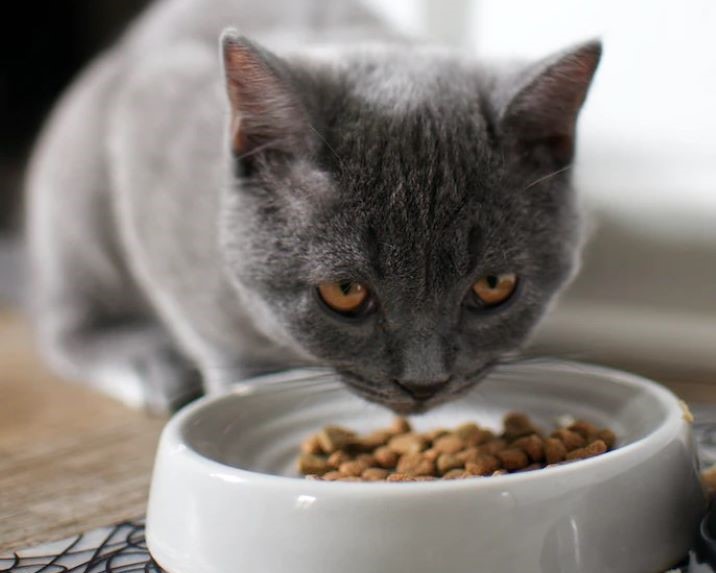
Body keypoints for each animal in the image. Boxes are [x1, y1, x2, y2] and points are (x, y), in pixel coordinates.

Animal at [26, 0, 600, 414]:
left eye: (494, 286)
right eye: (345, 292)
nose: (424, 384)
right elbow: (215, 334)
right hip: (77, 188)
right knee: (65, 323)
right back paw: (144, 363)